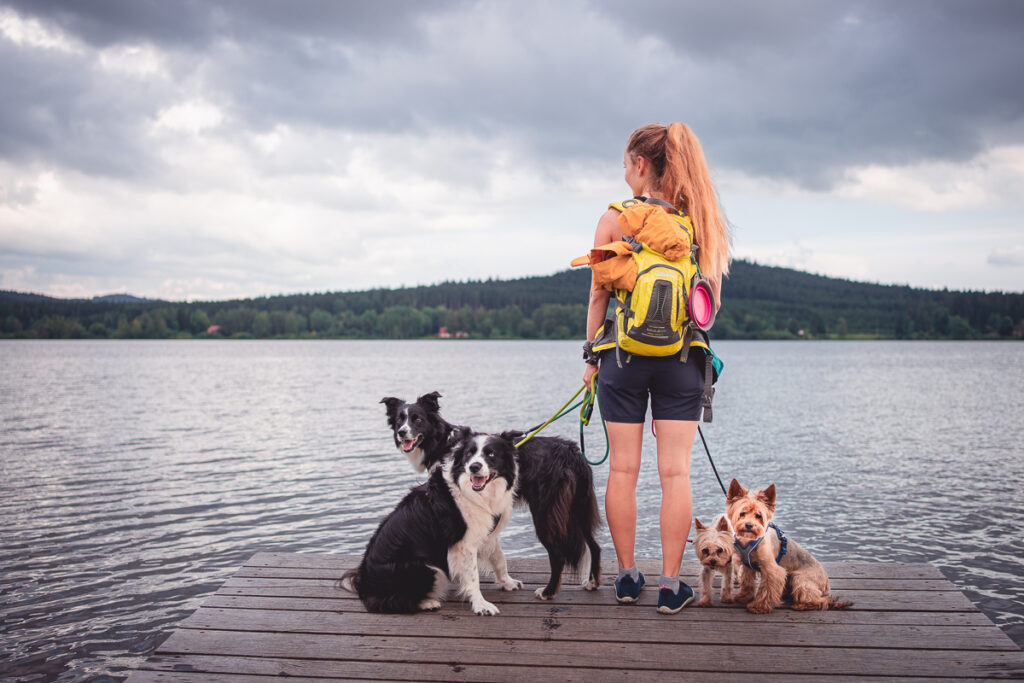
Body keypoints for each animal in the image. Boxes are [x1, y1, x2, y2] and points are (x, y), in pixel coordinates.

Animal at [724, 479, 851, 618]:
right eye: (742, 513)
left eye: (758, 516)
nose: (749, 525)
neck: (750, 540)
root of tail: (827, 584)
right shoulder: (748, 566)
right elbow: (747, 582)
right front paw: (744, 597)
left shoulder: (772, 571)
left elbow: (766, 589)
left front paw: (759, 607)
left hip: (800, 579)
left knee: (821, 600)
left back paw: (801, 605)